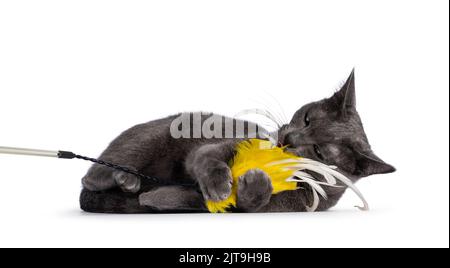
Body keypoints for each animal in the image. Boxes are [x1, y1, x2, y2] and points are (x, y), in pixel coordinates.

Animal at [80, 70, 394, 213]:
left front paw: (254, 184)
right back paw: (124, 181)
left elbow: (247, 203)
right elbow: (206, 157)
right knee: (90, 177)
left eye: (318, 150)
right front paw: (220, 184)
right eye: (307, 118)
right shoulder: (223, 146)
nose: (289, 137)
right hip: (151, 138)